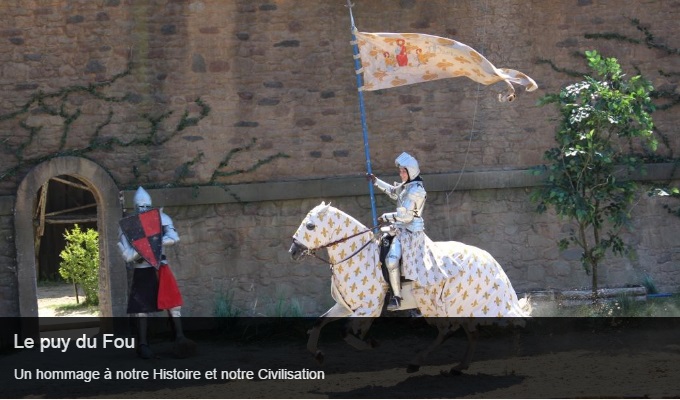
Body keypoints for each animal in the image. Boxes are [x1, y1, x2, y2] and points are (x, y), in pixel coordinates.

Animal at [288, 202, 532, 374]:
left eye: (310, 225)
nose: (293, 251)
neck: (359, 254)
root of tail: (488, 258)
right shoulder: (346, 306)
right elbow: (320, 322)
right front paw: (317, 354)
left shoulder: (368, 308)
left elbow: (346, 332)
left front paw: (371, 343)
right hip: (455, 305)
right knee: (466, 333)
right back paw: (455, 367)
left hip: (451, 303)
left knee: (453, 331)